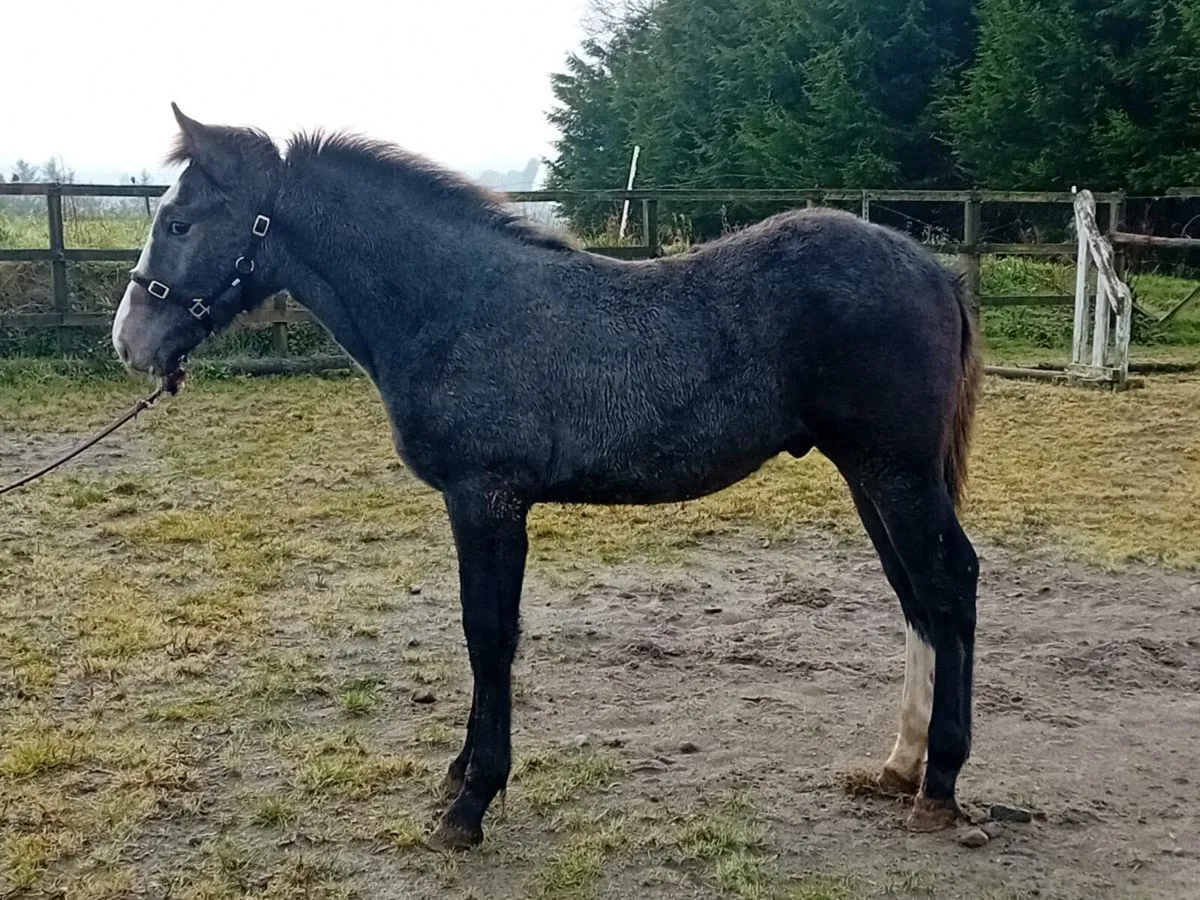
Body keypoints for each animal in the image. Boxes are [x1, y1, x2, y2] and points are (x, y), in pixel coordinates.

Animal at [112, 104, 982, 850]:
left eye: (181, 222)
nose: (130, 341)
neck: (455, 304)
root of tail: (933, 269)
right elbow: (484, 637)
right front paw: (460, 776)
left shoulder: (486, 499)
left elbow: (488, 635)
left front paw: (471, 802)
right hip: (869, 472)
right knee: (915, 595)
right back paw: (899, 765)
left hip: (895, 469)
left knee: (949, 584)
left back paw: (939, 785)